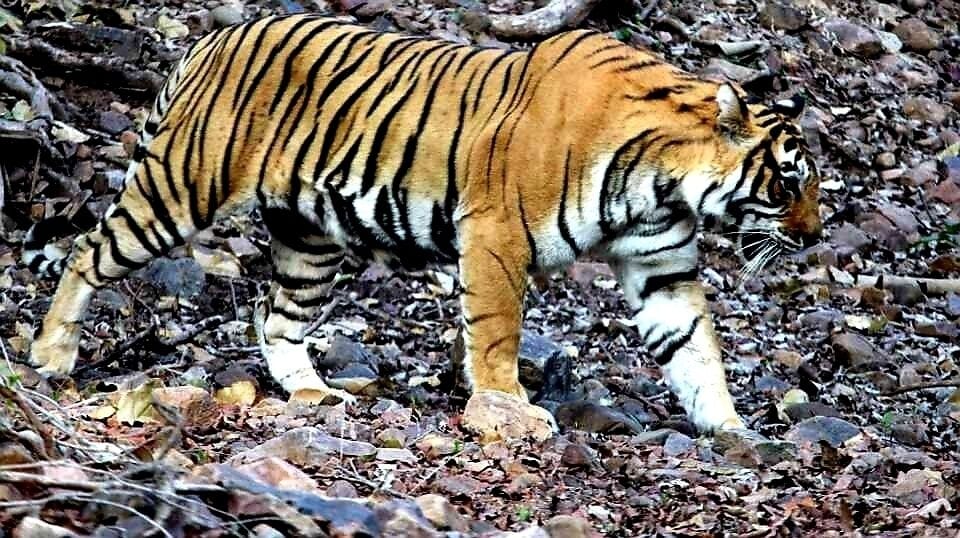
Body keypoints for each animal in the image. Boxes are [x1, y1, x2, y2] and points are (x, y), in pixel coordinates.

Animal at [25, 13, 821, 436]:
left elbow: (696, 351)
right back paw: (51, 354)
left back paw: (314, 394)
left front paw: (732, 431)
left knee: (275, 318)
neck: (661, 182)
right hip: (181, 189)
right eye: (787, 184)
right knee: (86, 251)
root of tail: (211, 39)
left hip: (310, 239)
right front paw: (508, 408)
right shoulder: (497, 235)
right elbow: (496, 332)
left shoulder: (663, 265)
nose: (814, 236)